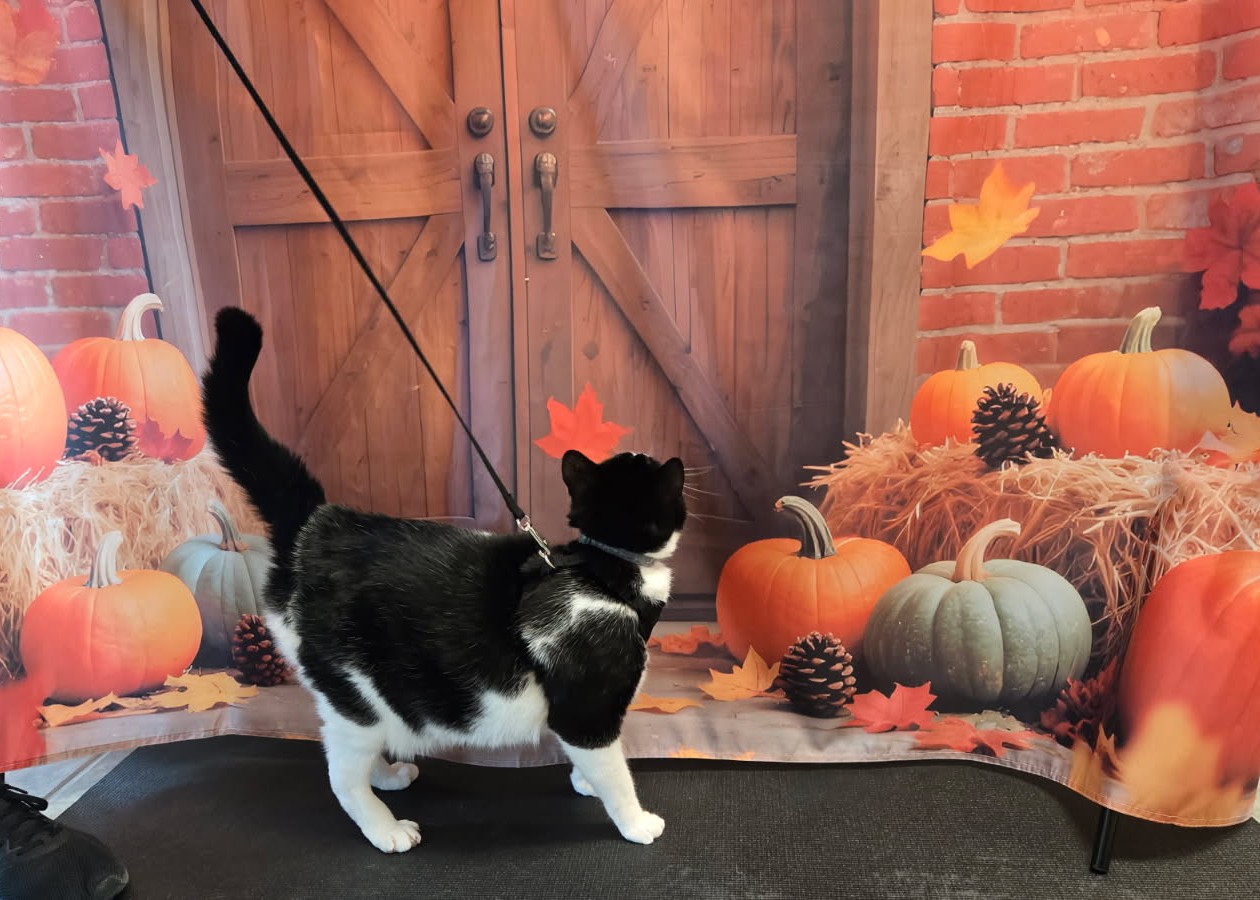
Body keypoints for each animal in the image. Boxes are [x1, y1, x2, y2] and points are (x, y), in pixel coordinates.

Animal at [201, 307, 687, 853]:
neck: (604, 567)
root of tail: (317, 523)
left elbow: (597, 762)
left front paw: (585, 782)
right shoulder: (587, 710)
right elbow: (614, 772)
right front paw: (634, 821)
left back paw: (387, 775)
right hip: (357, 692)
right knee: (341, 775)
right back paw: (385, 827)